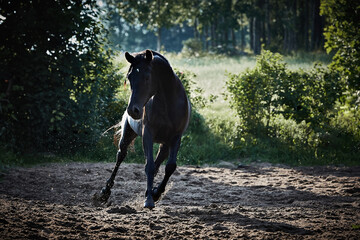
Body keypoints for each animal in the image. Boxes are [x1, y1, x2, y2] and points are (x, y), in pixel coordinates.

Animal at [94, 49, 193, 209]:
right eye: (129, 77)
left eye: (147, 77)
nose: (133, 111)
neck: (169, 103)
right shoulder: (147, 135)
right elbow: (149, 166)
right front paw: (149, 200)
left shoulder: (176, 138)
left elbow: (170, 167)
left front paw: (155, 193)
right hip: (128, 135)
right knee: (121, 156)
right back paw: (105, 192)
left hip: (165, 144)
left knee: (159, 162)